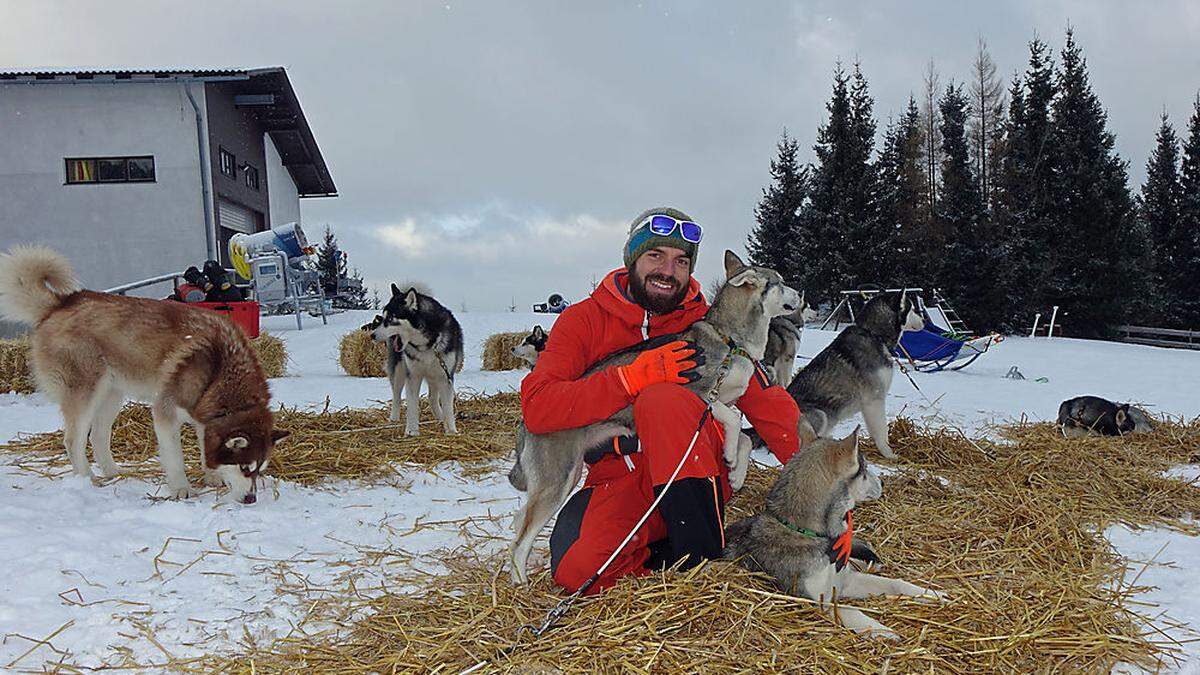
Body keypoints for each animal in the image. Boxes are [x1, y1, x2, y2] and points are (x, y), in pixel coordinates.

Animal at [0, 246, 288, 499]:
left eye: (260, 470)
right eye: (245, 468)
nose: (251, 499)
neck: (218, 371)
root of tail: (62, 303)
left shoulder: (204, 416)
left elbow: (206, 449)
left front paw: (212, 476)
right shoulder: (165, 411)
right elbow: (175, 458)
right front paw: (181, 488)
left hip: (112, 393)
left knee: (98, 435)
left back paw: (113, 471)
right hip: (85, 392)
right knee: (74, 439)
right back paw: (87, 479)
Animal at [372, 284, 465, 437]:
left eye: (390, 319)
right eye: (383, 318)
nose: (372, 335)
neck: (426, 344)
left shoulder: (445, 376)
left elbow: (447, 407)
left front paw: (451, 430)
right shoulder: (413, 376)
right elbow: (412, 405)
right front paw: (412, 431)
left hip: (435, 374)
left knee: (432, 397)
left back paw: (440, 418)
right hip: (399, 371)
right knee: (396, 396)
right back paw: (394, 418)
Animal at [724, 429, 940, 634]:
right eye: (864, 469)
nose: (883, 483)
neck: (807, 532)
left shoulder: (846, 580)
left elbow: (895, 583)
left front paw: (931, 594)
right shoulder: (817, 600)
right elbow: (849, 610)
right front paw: (881, 630)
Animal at [782, 290, 921, 456]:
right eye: (912, 309)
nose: (924, 320)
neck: (873, 334)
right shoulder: (874, 400)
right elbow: (882, 433)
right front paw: (889, 454)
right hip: (820, 414)